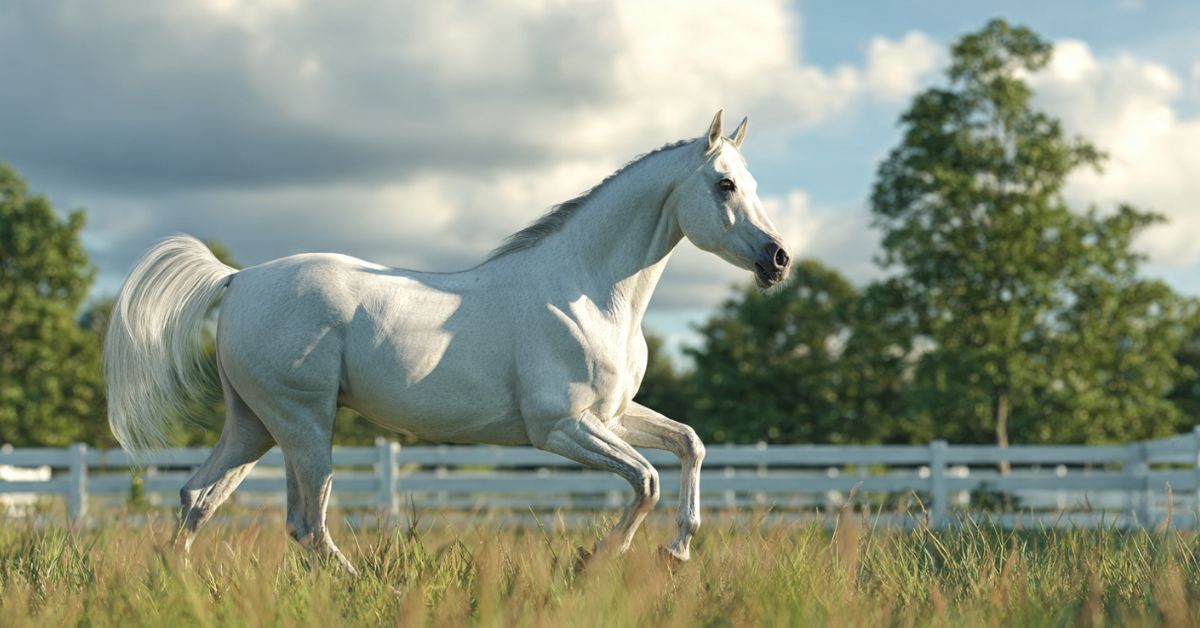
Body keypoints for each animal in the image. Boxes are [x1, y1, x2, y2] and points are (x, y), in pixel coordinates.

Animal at [104, 111, 791, 574]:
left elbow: (689, 444)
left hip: (255, 425)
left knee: (199, 497)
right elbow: (647, 480)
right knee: (306, 524)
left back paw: (182, 585)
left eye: (754, 183)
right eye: (725, 185)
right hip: (303, 423)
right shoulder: (561, 428)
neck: (588, 291)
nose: (778, 259)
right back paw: (361, 584)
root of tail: (238, 278)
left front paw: (677, 550)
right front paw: (598, 559)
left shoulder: (612, 416)